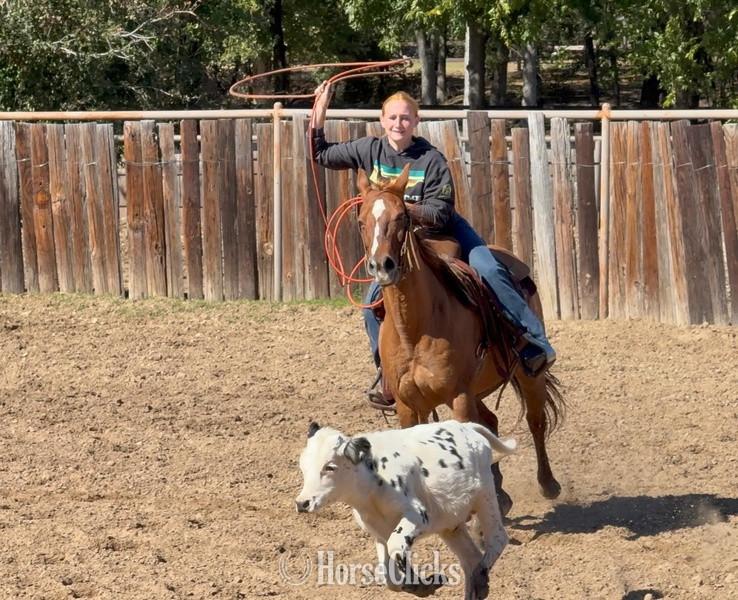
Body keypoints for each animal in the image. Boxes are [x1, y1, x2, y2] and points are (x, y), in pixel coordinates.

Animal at [355, 164, 565, 514]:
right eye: (360, 220)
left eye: (402, 217)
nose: (382, 265)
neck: (414, 331)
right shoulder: (408, 405)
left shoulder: (459, 396)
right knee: (490, 422)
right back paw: (500, 494)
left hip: (526, 374)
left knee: (534, 420)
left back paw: (547, 484)